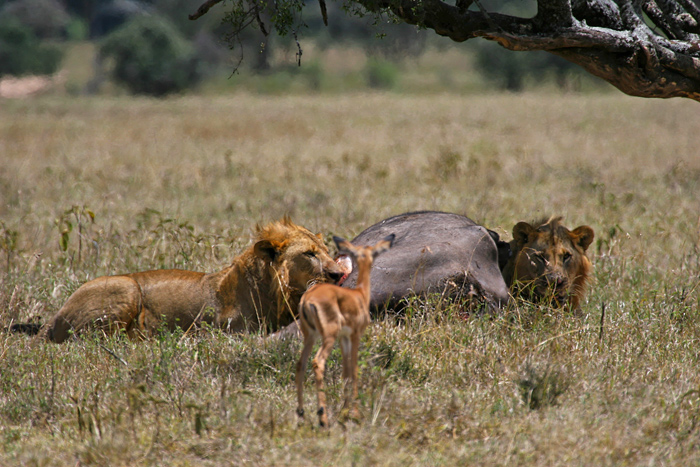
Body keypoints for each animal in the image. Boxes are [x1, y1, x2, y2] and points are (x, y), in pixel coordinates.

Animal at [29, 218, 344, 342]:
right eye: (309, 254)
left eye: (328, 251)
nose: (339, 274)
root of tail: (54, 317)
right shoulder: (229, 333)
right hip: (126, 287)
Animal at [295, 234, 395, 427]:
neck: (360, 295)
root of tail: (308, 300)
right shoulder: (355, 335)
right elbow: (354, 369)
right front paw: (353, 413)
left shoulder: (344, 337)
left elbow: (345, 370)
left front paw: (345, 411)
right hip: (328, 336)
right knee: (318, 362)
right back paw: (323, 417)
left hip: (310, 336)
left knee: (300, 364)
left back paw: (302, 414)